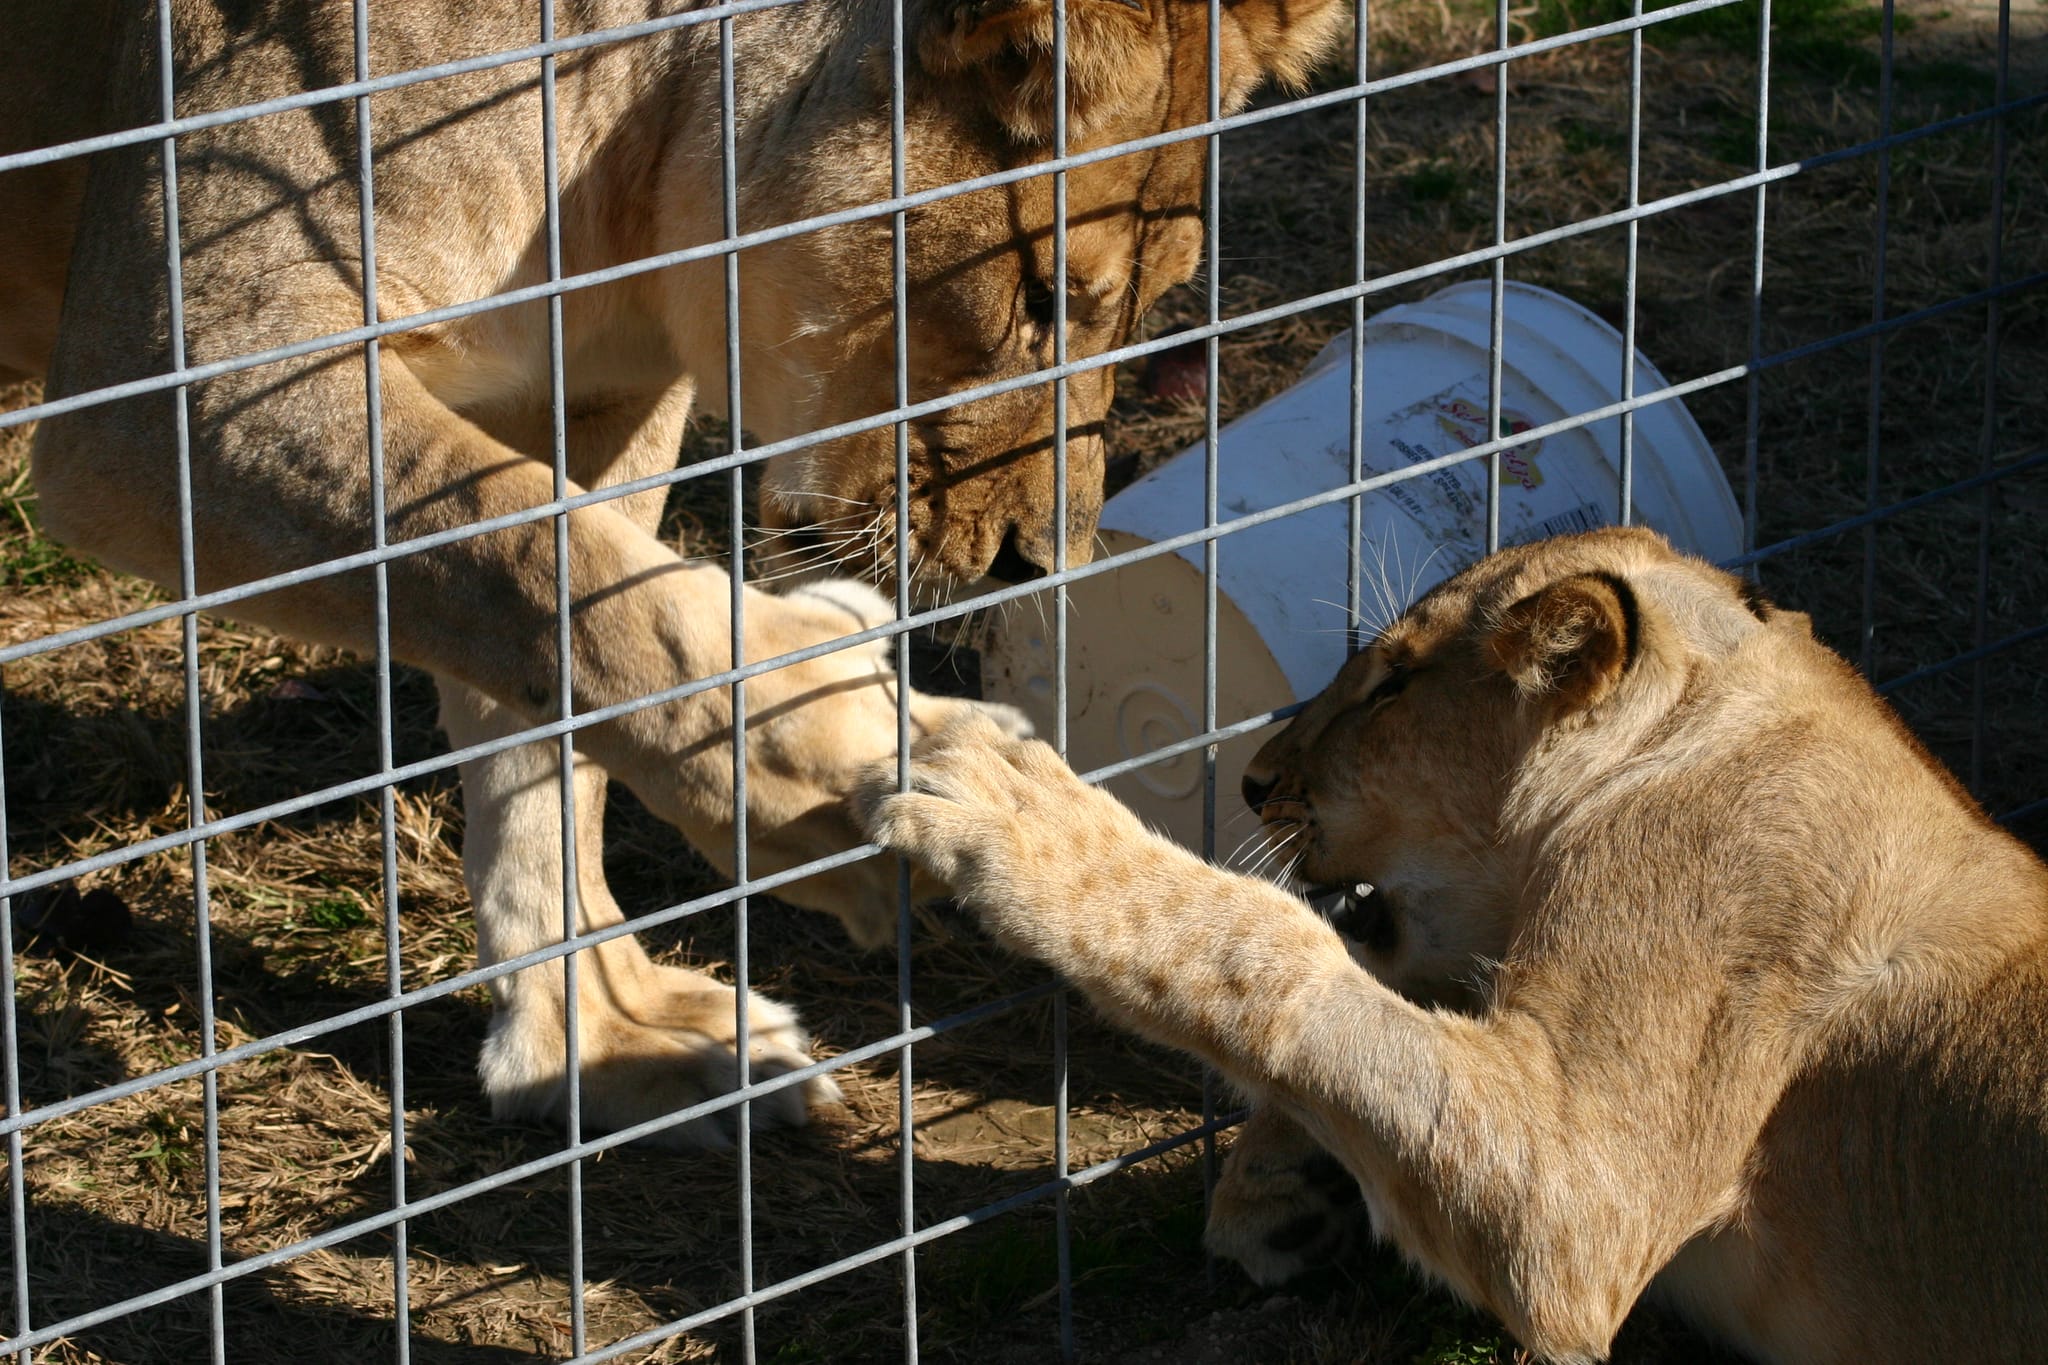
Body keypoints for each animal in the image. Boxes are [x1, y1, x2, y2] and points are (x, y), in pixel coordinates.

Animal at [0, 0, 1343, 1145]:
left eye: (1152, 308)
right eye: (1044, 296)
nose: (1032, 564)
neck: (612, 176)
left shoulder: (591, 400)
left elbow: (554, 702)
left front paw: (592, 1041)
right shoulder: (182, 375)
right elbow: (562, 574)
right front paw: (831, 762)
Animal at [861, 526, 2048, 1363]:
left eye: (1390, 685)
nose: (1252, 779)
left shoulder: (1581, 1195)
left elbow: (1271, 944)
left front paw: (1027, 818)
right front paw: (1283, 1192)